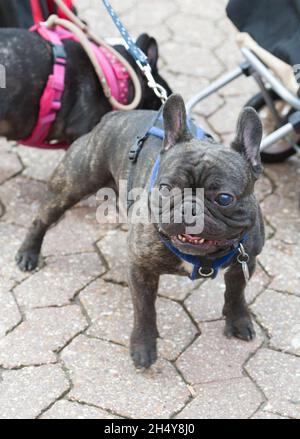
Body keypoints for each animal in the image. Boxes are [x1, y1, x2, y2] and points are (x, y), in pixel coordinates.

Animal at [16, 94, 264, 370]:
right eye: (165, 187)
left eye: (224, 198)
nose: (190, 208)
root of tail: (113, 116)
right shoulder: (141, 268)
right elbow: (145, 311)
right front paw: (144, 348)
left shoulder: (245, 261)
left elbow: (236, 293)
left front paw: (238, 321)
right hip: (71, 185)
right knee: (42, 218)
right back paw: (28, 253)